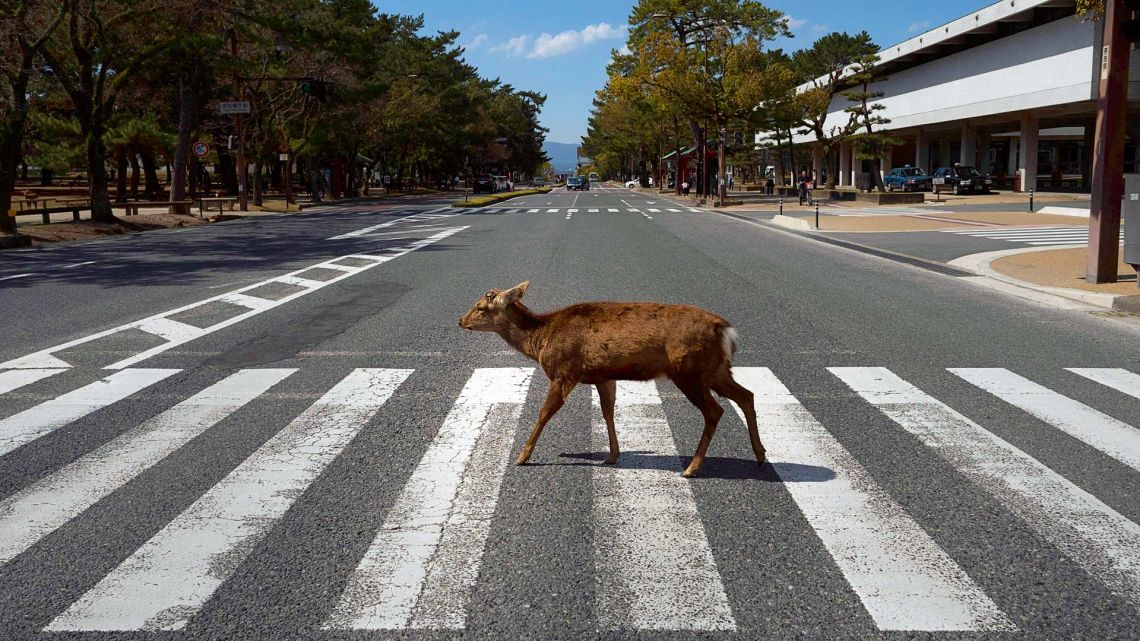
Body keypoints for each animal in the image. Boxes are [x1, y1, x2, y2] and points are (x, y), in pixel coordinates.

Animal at [456, 279, 766, 474]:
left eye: (481, 307)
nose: (460, 320)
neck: (541, 339)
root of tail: (726, 331)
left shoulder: (565, 371)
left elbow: (545, 413)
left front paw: (522, 456)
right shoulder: (603, 377)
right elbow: (608, 412)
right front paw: (612, 455)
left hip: (689, 370)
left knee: (715, 410)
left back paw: (692, 467)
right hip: (716, 370)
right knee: (746, 395)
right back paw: (761, 455)